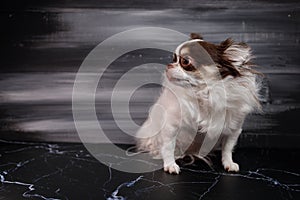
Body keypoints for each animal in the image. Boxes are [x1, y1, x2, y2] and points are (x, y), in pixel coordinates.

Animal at [135, 33, 260, 174]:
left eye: (185, 61)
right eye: (173, 58)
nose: (169, 65)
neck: (204, 94)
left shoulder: (234, 128)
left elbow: (227, 148)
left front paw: (228, 163)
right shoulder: (170, 127)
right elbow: (168, 147)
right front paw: (170, 165)